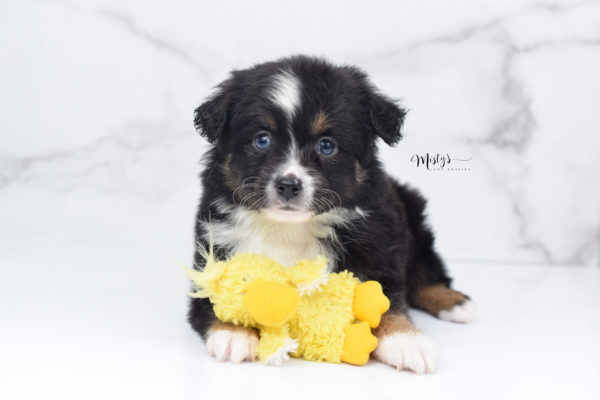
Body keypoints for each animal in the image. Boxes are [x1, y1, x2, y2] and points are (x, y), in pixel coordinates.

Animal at [188, 54, 474, 374]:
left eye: (327, 146)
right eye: (262, 140)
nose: (288, 185)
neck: (289, 228)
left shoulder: (379, 242)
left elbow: (386, 298)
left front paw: (406, 342)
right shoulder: (214, 245)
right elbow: (215, 296)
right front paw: (232, 333)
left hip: (412, 215)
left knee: (426, 270)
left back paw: (455, 303)